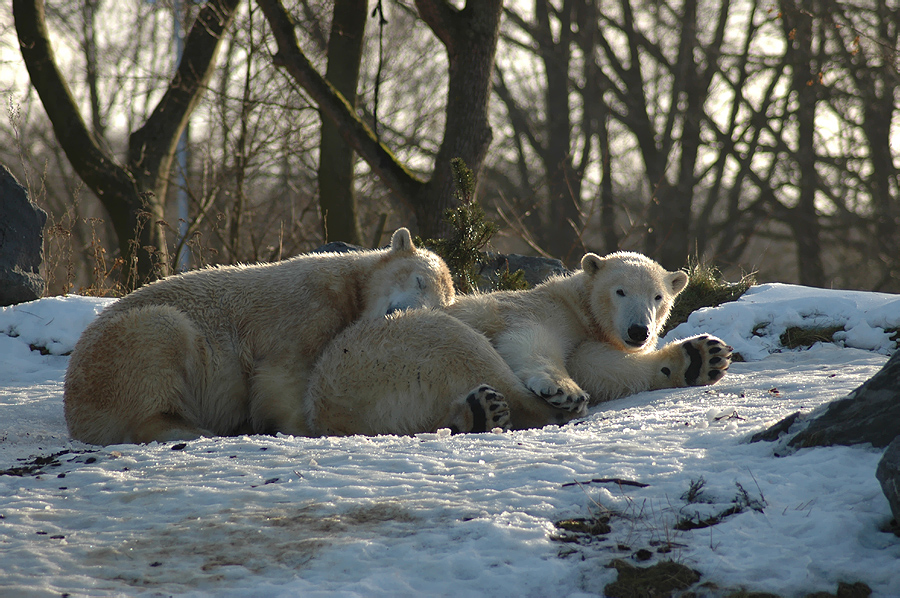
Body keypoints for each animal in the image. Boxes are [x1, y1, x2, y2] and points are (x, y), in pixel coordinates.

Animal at [64, 230, 458, 446]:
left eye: (439, 304)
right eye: (418, 280)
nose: (398, 312)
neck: (350, 287)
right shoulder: (306, 310)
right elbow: (282, 376)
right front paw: (303, 428)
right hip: (117, 352)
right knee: (161, 338)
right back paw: (194, 430)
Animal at [302, 250, 732, 436]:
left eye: (658, 297)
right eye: (620, 291)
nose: (639, 331)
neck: (575, 304)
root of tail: (328, 411)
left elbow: (600, 365)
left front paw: (701, 356)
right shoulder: (533, 309)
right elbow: (530, 341)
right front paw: (564, 390)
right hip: (386, 350)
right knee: (467, 351)